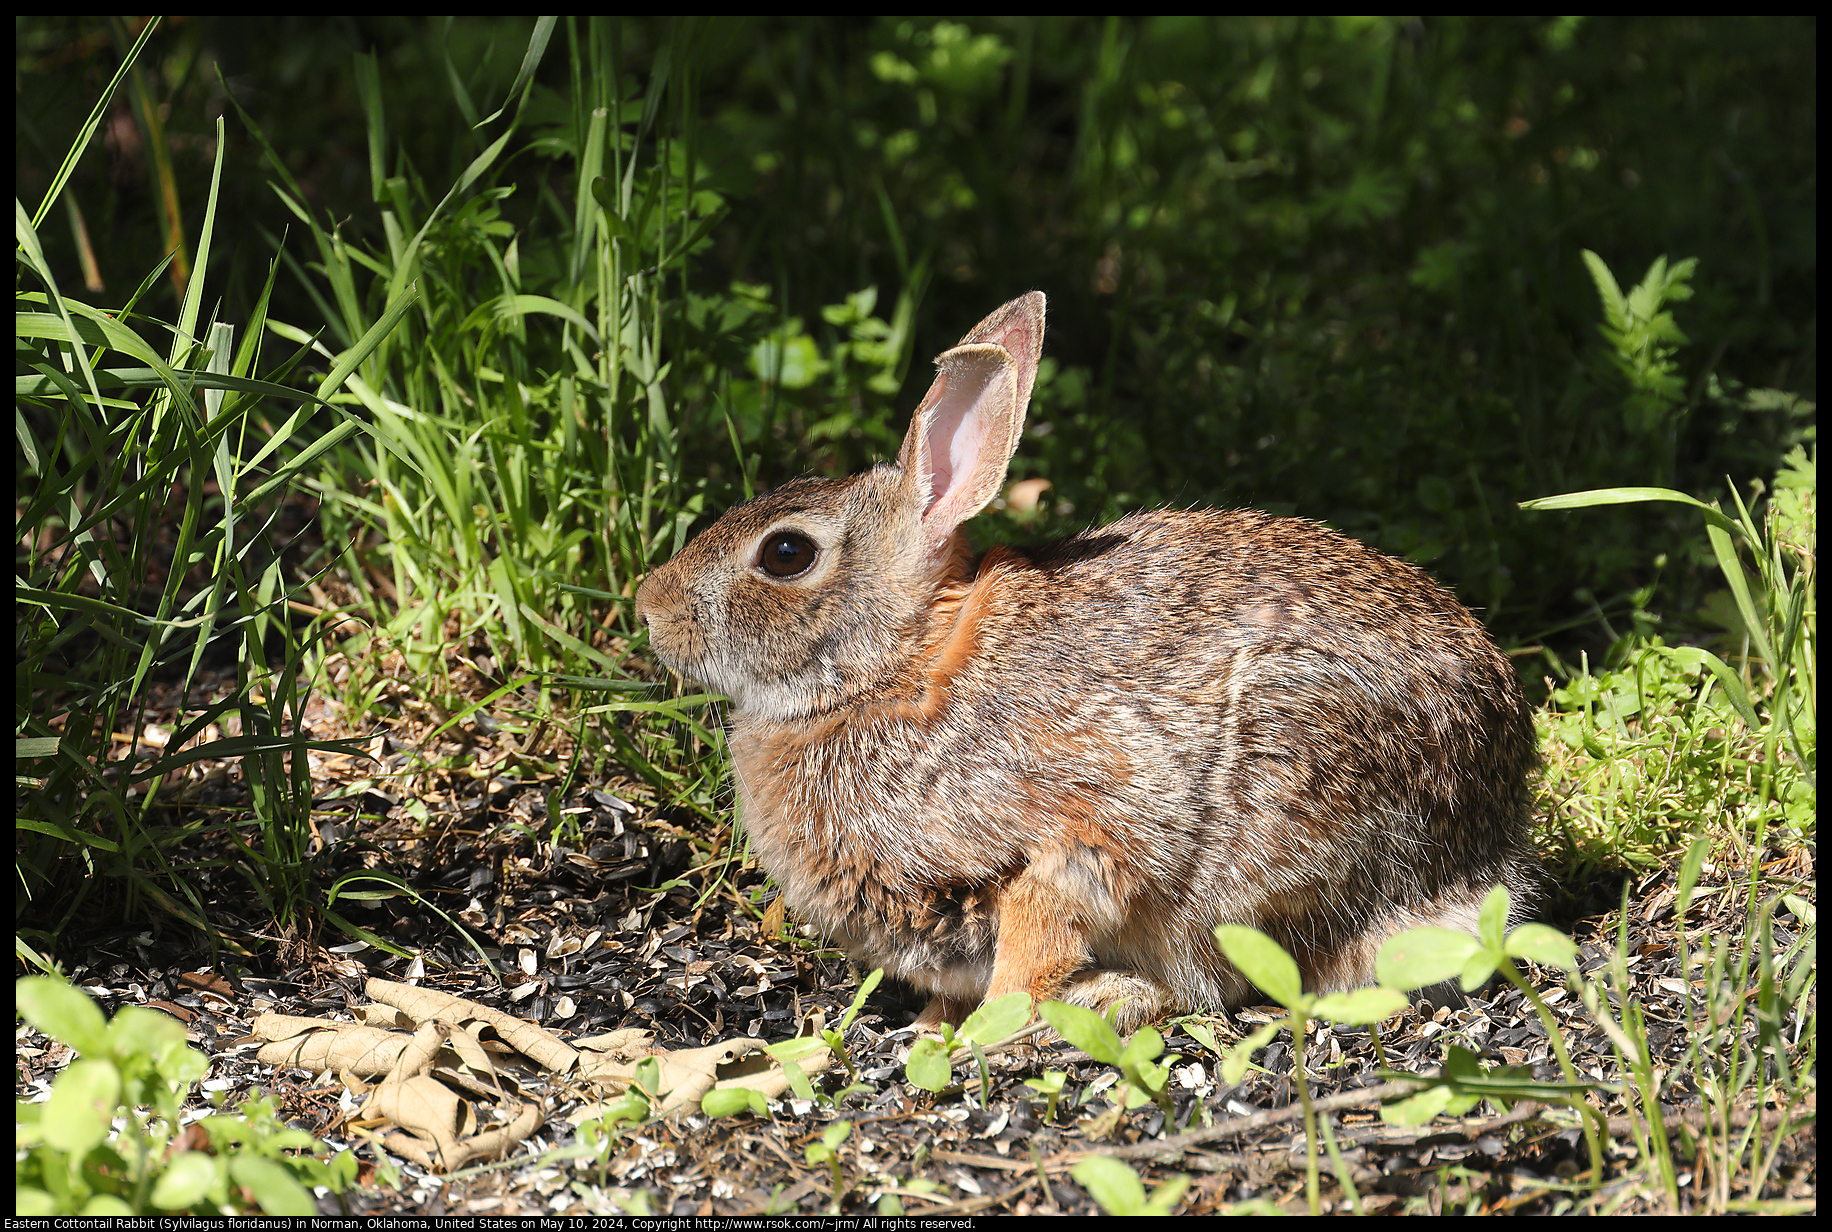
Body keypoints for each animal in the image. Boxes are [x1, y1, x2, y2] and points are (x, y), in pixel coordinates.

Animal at [637, 291, 1538, 1026]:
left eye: (786, 554)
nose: (649, 608)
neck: (903, 667)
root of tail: (1488, 840)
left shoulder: (1074, 835)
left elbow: (1039, 935)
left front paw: (985, 1036)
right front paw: (931, 1026)